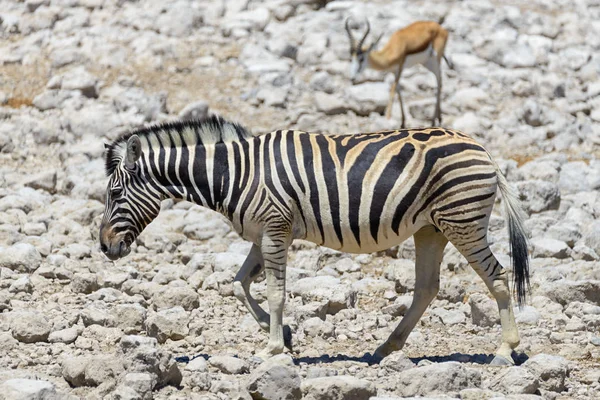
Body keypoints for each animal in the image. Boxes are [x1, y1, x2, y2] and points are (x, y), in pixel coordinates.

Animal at [99, 115, 528, 366]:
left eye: (115, 194)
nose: (104, 247)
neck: (235, 174)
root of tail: (484, 151)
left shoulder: (275, 230)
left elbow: (275, 292)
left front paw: (272, 348)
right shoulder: (262, 233)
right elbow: (238, 284)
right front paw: (283, 336)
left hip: (461, 221)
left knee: (497, 276)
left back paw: (505, 350)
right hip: (431, 229)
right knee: (427, 287)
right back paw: (387, 348)